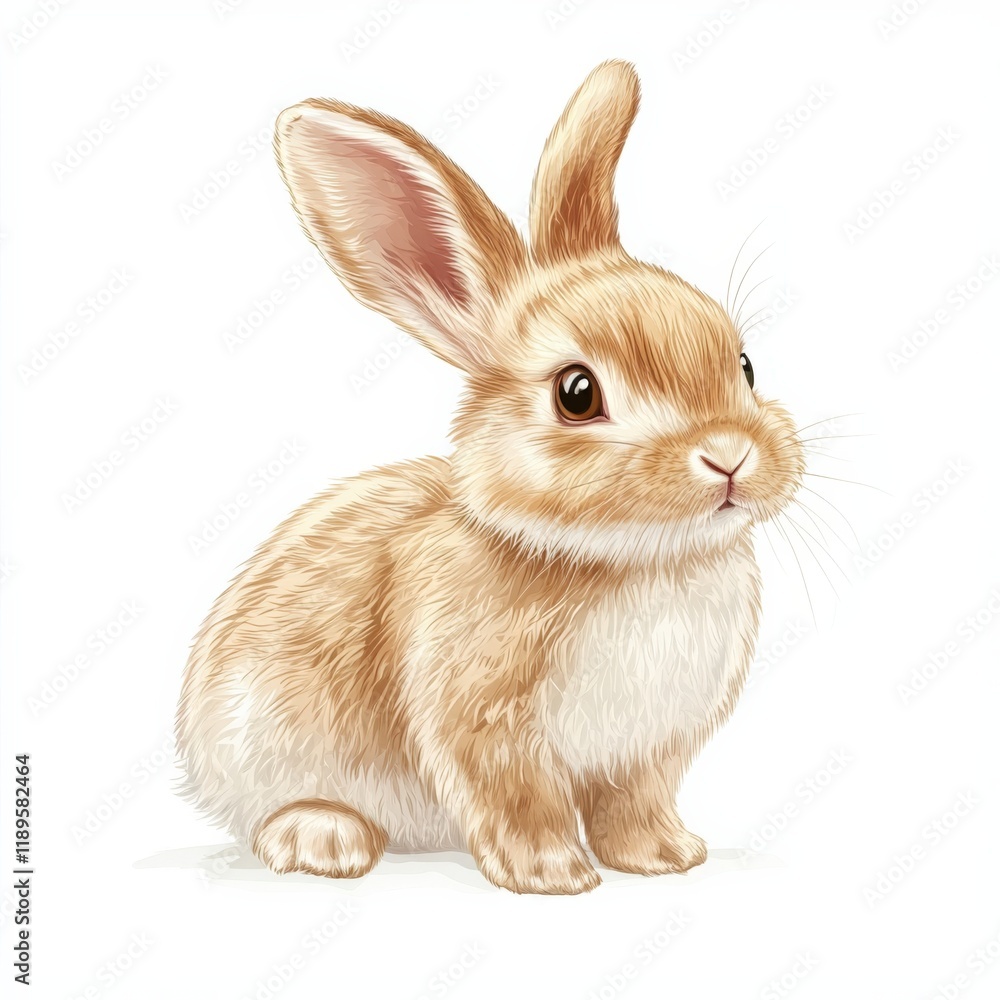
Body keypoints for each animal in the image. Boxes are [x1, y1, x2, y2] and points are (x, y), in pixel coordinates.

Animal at [175, 60, 805, 895]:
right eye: (577, 393)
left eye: (744, 365)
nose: (730, 454)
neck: (633, 559)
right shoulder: (482, 722)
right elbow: (517, 796)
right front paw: (551, 875)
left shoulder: (650, 750)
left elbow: (632, 804)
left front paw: (666, 857)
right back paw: (323, 837)